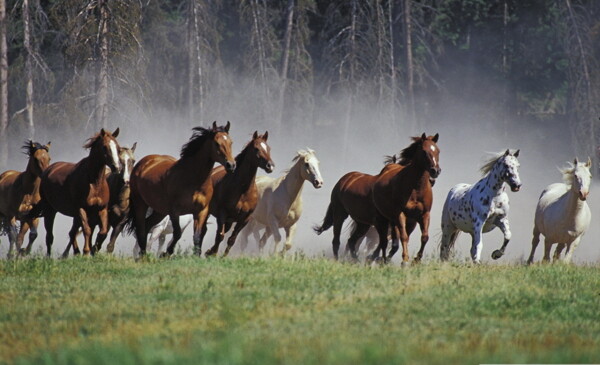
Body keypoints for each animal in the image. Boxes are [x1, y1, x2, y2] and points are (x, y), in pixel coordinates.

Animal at [40, 128, 122, 256]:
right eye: (104, 147)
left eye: (118, 148)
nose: (116, 167)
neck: (94, 183)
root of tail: (48, 170)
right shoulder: (81, 209)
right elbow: (87, 230)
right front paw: (86, 251)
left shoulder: (101, 209)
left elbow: (102, 232)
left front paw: (94, 250)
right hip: (50, 210)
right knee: (50, 236)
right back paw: (50, 256)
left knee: (72, 233)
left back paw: (76, 252)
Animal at [127, 121, 236, 255]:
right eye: (216, 143)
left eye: (231, 142)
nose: (231, 165)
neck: (194, 181)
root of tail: (144, 162)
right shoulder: (174, 211)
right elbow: (177, 234)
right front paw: (166, 253)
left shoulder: (201, 211)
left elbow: (197, 237)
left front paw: (196, 256)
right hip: (140, 204)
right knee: (141, 230)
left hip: (159, 211)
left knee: (147, 227)